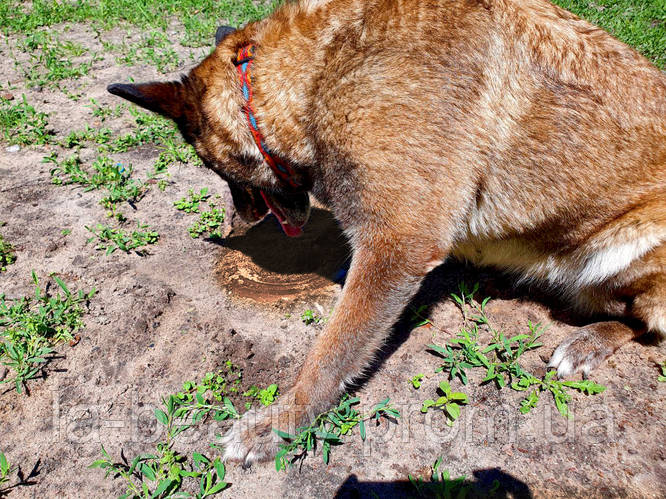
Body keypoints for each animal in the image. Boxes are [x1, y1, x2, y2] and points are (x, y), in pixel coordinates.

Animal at [106, 0, 660, 466]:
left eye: (212, 166)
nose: (237, 222)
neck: (321, 71)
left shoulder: (398, 245)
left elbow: (331, 352)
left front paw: (282, 422)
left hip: (627, 249)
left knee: (645, 325)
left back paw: (588, 342)